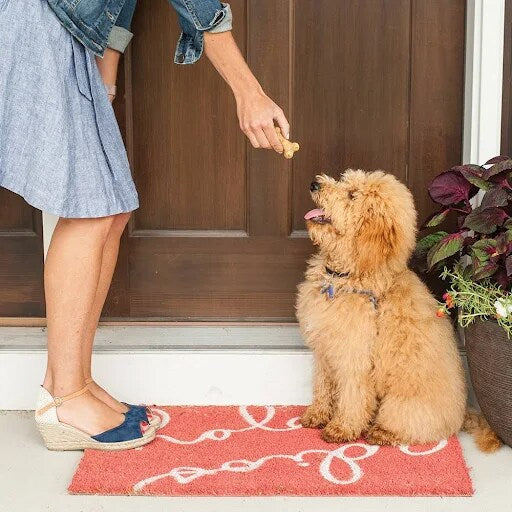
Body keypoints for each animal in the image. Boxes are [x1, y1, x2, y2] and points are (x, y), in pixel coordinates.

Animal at [296, 170, 500, 450]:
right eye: (344, 181)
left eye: (352, 195)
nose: (314, 183)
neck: (351, 277)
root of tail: (461, 415)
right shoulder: (325, 351)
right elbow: (322, 384)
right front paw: (316, 414)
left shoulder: (356, 358)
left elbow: (352, 397)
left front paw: (341, 428)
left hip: (401, 404)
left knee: (411, 427)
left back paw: (381, 433)